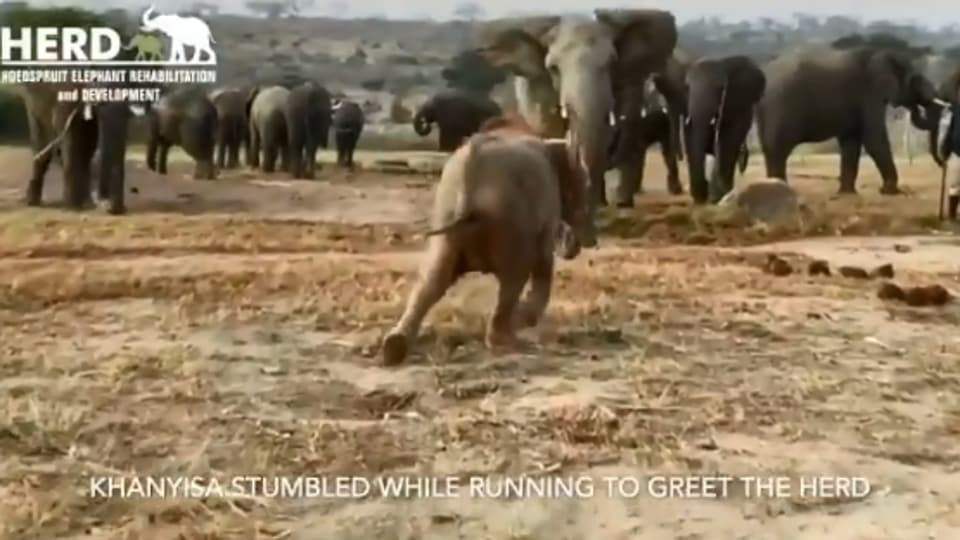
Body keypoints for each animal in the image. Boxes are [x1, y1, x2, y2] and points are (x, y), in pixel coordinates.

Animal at [18, 84, 139, 213]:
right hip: (31, 101)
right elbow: (70, 132)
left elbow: (89, 142)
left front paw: (83, 204)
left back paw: (87, 202)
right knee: (41, 138)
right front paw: (72, 208)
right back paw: (33, 201)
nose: (109, 207)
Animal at [378, 120, 588, 364]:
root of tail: (468, 181)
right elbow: (543, 262)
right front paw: (522, 320)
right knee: (514, 276)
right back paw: (506, 342)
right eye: (584, 185)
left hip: (446, 213)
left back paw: (393, 348)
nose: (574, 247)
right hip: (509, 220)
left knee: (432, 279)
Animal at [478, 9, 676, 246]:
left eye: (612, 63)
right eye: (553, 69)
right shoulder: (539, 92)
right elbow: (554, 135)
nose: (585, 239)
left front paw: (586, 238)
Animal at [684, 56, 764, 205]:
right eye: (688, 88)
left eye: (720, 89)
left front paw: (716, 197)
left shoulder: (737, 107)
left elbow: (727, 143)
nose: (701, 197)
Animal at [756, 46, 936, 194]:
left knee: (768, 147)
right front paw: (889, 191)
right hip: (782, 104)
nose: (915, 107)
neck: (882, 53)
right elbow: (874, 139)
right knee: (778, 148)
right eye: (916, 78)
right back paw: (780, 189)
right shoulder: (869, 93)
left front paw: (847, 194)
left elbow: (851, 141)